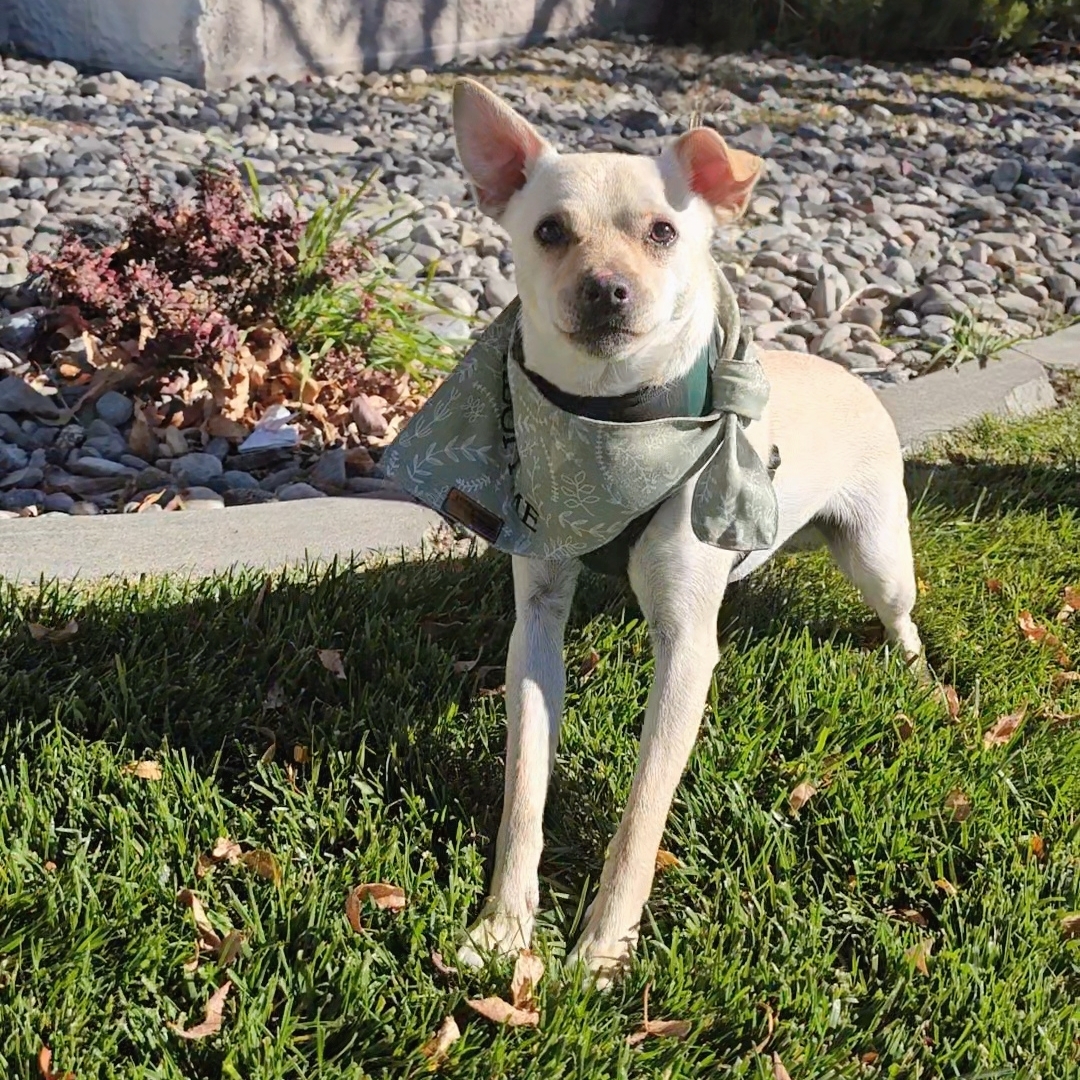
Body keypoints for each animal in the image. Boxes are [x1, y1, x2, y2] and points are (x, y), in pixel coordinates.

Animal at [442, 79, 924, 984]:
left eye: (664, 232)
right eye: (550, 231)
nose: (605, 288)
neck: (615, 422)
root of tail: (850, 370)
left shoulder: (687, 649)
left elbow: (642, 814)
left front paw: (601, 948)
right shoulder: (537, 625)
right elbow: (524, 787)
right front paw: (504, 925)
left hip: (879, 553)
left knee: (902, 616)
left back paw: (921, 681)